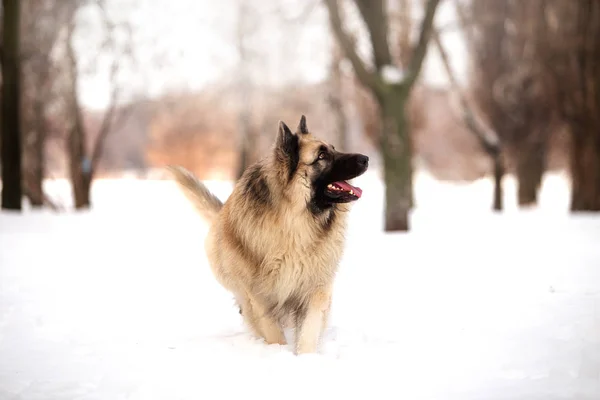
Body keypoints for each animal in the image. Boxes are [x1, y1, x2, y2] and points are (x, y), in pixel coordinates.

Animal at [166, 115, 368, 354]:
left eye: (334, 149)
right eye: (321, 155)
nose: (365, 159)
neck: (293, 221)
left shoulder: (314, 288)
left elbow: (309, 330)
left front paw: (305, 356)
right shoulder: (259, 296)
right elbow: (273, 332)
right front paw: (279, 351)